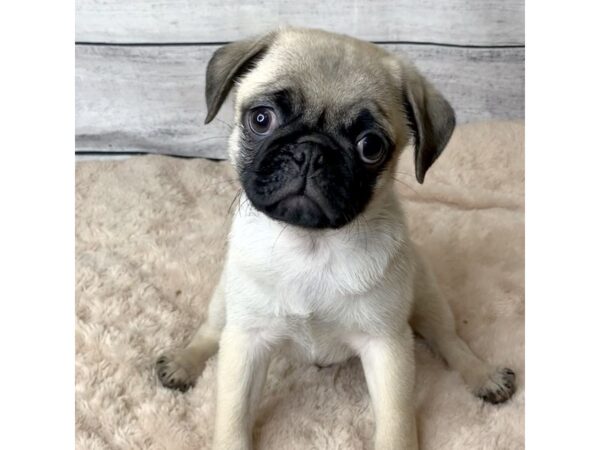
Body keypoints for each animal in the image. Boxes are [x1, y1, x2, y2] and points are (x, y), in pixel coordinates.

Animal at [156, 26, 516, 448]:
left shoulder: (387, 347)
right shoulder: (247, 340)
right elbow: (234, 417)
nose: (311, 152)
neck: (310, 245)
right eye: (261, 119)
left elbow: (396, 421)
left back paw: (483, 376)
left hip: (428, 296)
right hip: (224, 298)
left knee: (448, 340)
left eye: (370, 146)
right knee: (211, 332)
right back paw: (183, 362)